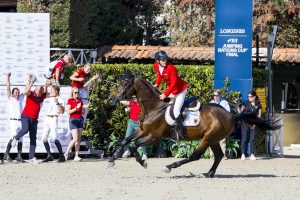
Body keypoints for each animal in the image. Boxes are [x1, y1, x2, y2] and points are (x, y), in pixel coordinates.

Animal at [107, 72, 278, 178]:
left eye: (124, 84)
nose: (110, 99)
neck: (154, 107)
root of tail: (231, 114)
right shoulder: (143, 131)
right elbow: (126, 140)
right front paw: (112, 159)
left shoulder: (155, 136)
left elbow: (133, 145)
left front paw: (143, 162)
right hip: (213, 139)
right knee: (218, 155)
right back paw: (209, 173)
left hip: (208, 138)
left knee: (195, 155)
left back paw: (170, 166)